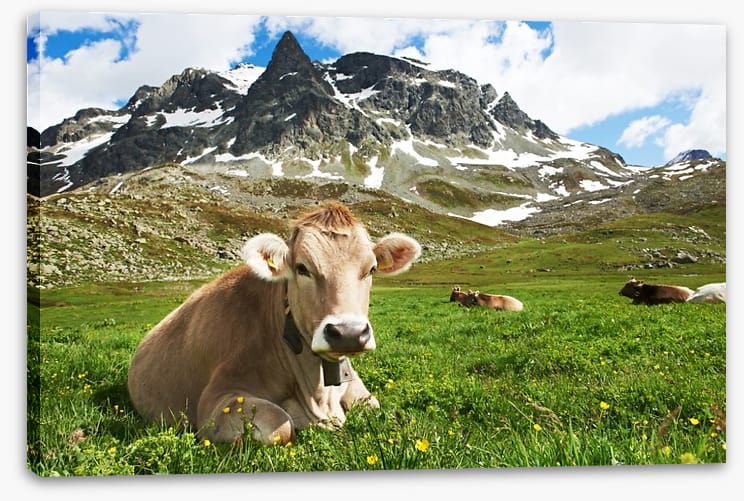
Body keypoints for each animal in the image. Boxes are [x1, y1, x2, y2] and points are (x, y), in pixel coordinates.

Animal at [127, 203, 421, 446]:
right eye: (302, 268)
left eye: (371, 269)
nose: (348, 333)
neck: (317, 394)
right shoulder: (214, 399)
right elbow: (281, 425)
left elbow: (374, 405)